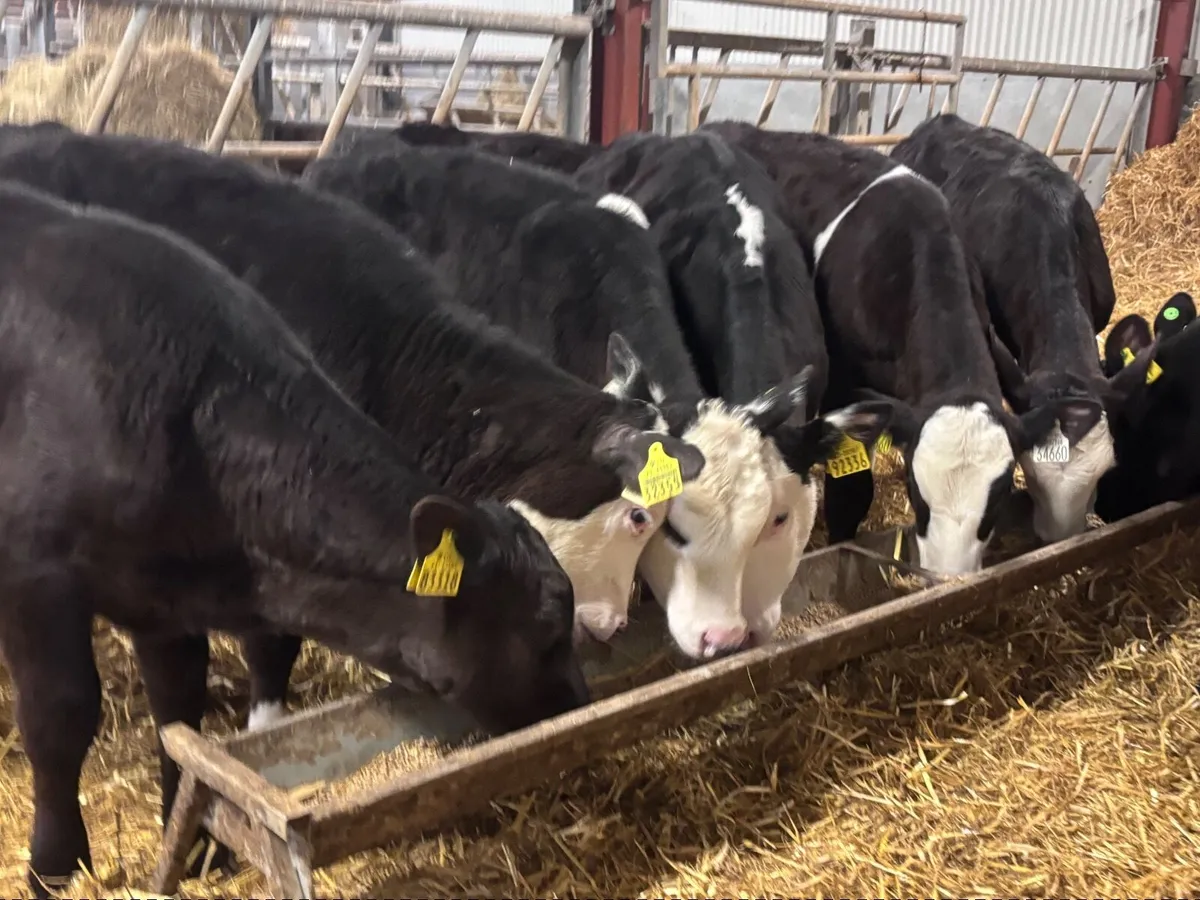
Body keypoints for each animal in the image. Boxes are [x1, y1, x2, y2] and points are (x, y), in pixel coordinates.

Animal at [0, 180, 590, 896]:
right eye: (547, 626)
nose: (581, 702)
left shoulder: (160, 594)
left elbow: (179, 711)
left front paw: (197, 845)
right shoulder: (34, 575)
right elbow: (59, 716)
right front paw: (54, 867)